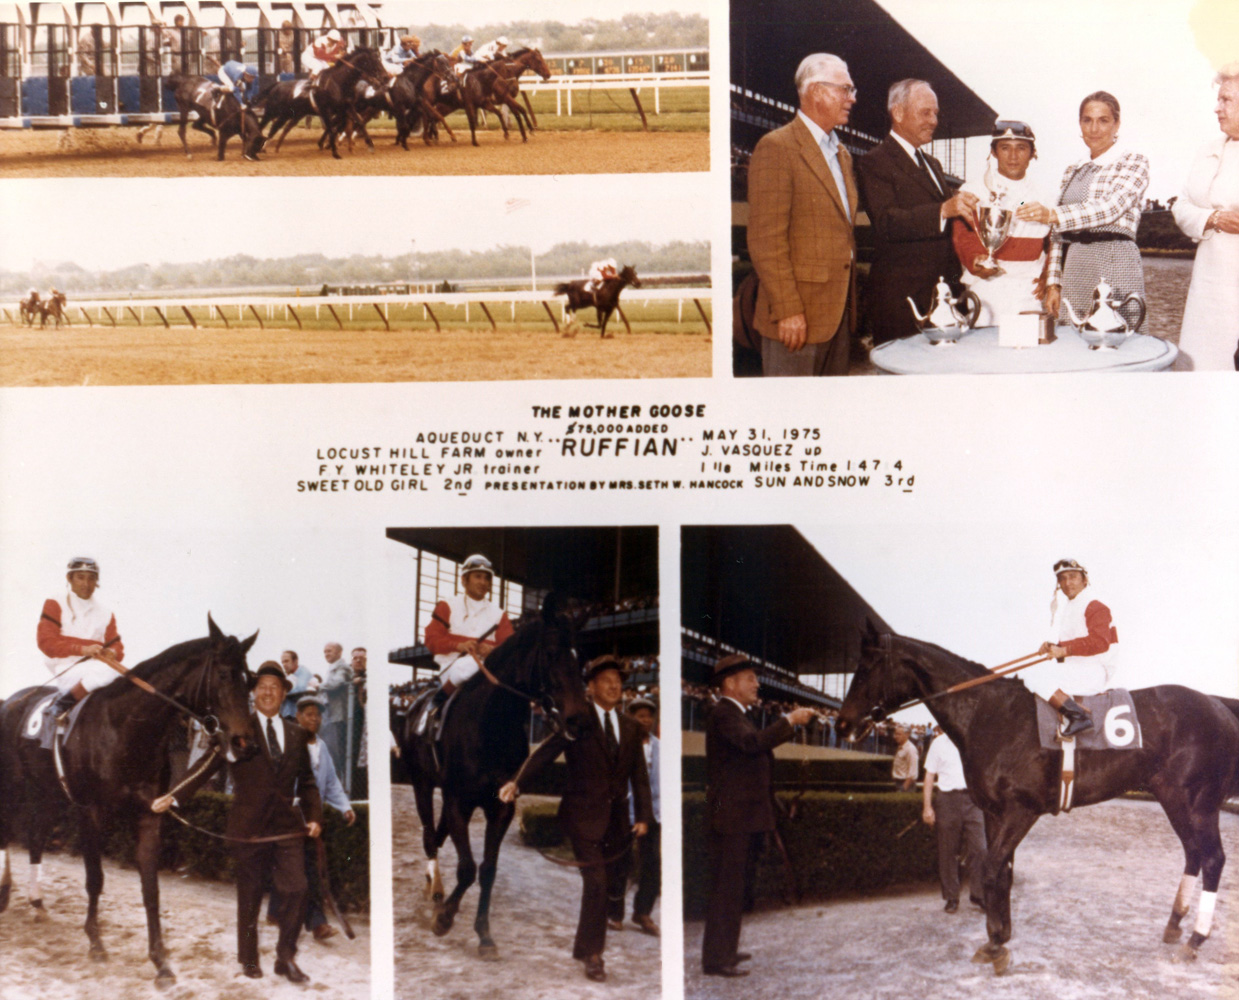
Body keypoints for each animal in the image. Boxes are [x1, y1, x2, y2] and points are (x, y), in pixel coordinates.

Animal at [0, 617, 257, 986]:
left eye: (249, 680)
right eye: (223, 675)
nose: (245, 743)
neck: (125, 727)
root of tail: (12, 700)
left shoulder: (148, 814)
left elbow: (151, 890)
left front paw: (160, 961)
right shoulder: (90, 813)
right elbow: (95, 880)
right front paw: (96, 943)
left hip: (46, 793)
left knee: (35, 838)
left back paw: (36, 902)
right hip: (13, 787)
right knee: (7, 833)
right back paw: (6, 893)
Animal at [396, 597, 589, 956]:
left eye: (579, 657)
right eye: (551, 652)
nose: (579, 720)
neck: (490, 726)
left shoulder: (502, 805)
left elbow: (487, 869)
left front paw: (484, 933)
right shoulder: (459, 801)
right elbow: (467, 868)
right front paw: (444, 919)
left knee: (438, 835)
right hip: (421, 783)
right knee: (429, 835)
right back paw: (435, 886)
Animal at [832, 624, 1239, 976]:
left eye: (866, 667)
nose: (842, 724)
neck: (990, 714)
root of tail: (1218, 705)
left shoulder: (1021, 810)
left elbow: (991, 869)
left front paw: (997, 943)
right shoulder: (994, 812)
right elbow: (1003, 873)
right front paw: (998, 937)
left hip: (1199, 802)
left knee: (1213, 859)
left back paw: (1195, 939)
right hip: (1172, 797)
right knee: (1193, 853)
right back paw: (1173, 925)